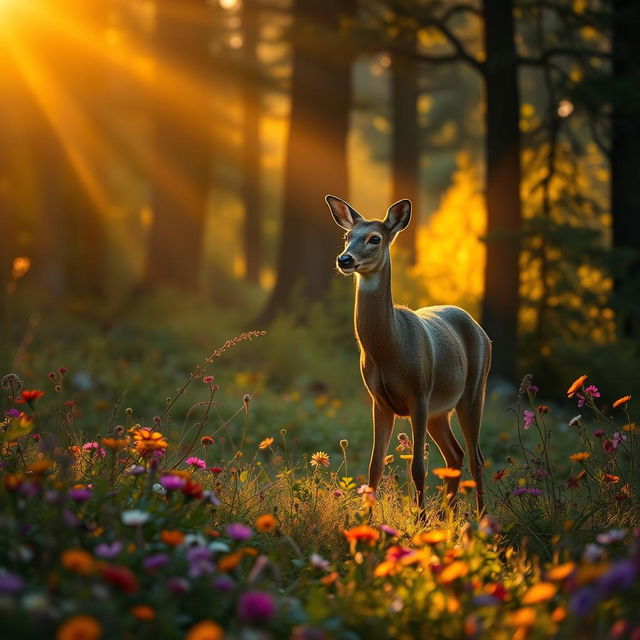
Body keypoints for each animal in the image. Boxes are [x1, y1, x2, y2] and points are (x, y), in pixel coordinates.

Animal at [328, 194, 492, 516]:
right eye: (347, 236)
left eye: (375, 238)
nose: (345, 259)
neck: (390, 348)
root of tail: (479, 328)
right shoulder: (379, 400)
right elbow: (374, 466)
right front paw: (366, 517)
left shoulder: (419, 393)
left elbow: (418, 467)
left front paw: (420, 519)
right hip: (439, 410)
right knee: (455, 455)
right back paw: (447, 514)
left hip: (472, 390)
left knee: (476, 456)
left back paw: (479, 516)